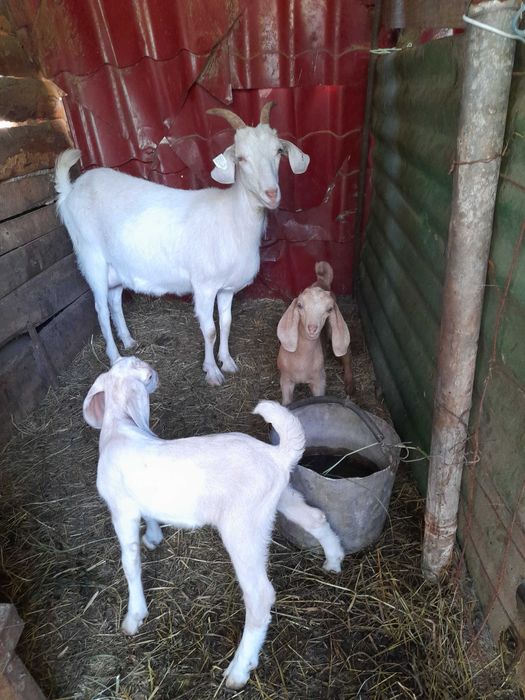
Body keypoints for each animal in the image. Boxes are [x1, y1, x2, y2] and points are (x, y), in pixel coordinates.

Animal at [55, 103, 309, 386]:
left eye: (278, 152)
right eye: (241, 158)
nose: (271, 194)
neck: (233, 217)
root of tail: (70, 191)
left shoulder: (226, 288)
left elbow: (227, 323)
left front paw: (228, 362)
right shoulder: (204, 286)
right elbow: (210, 330)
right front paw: (212, 372)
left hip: (117, 266)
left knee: (114, 301)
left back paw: (129, 341)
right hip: (91, 257)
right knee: (100, 308)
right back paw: (115, 357)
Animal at [84, 356, 343, 689]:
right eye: (147, 375)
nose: (156, 375)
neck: (120, 427)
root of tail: (277, 456)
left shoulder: (121, 509)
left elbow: (130, 563)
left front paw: (134, 616)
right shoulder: (136, 502)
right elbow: (150, 518)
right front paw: (153, 538)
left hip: (243, 525)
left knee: (260, 596)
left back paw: (239, 669)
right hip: (280, 496)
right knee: (315, 517)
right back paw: (334, 559)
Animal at [277, 261, 352, 405]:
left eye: (329, 309)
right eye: (299, 305)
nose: (312, 328)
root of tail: (322, 280)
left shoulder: (319, 381)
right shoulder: (285, 379)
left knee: (346, 356)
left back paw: (350, 385)